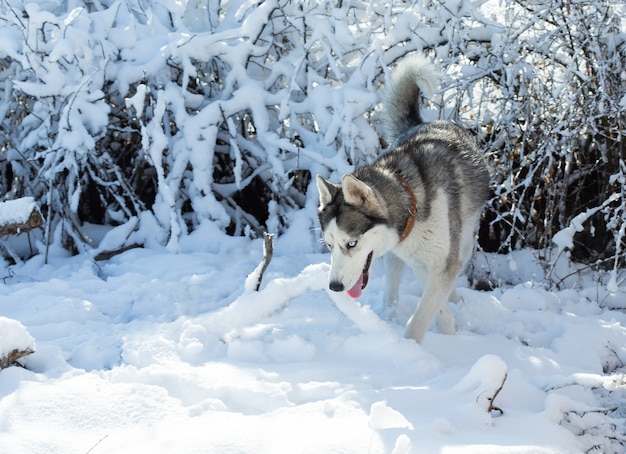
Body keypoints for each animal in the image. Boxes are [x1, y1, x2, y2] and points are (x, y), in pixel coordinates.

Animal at [316, 55, 488, 342]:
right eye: (329, 245)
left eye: (351, 244)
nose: (335, 287)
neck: (412, 204)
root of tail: (423, 122)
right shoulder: (420, 262)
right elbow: (435, 308)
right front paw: (445, 332)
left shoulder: (439, 262)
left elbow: (421, 317)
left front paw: (415, 348)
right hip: (399, 258)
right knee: (394, 282)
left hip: (463, 241)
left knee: (457, 263)